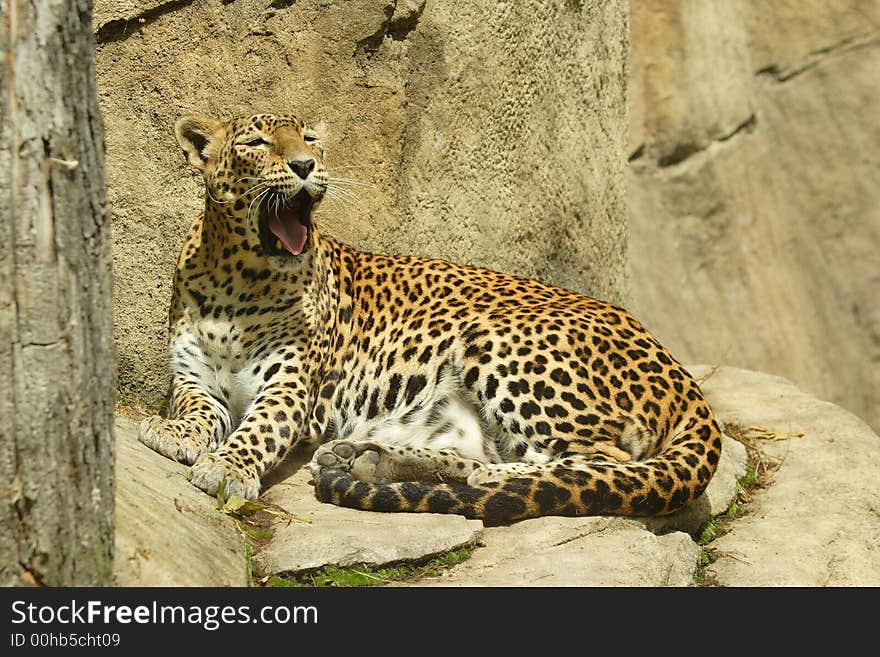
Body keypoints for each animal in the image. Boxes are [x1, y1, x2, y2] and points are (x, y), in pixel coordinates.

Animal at [139, 110, 720, 524]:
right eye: (257, 144)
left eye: (309, 138)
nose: (306, 166)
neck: (237, 283)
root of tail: (680, 374)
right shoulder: (192, 377)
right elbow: (197, 409)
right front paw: (176, 433)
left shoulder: (289, 388)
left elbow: (258, 428)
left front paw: (226, 468)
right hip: (458, 415)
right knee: (492, 455)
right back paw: (369, 457)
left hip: (501, 340)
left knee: (599, 462)